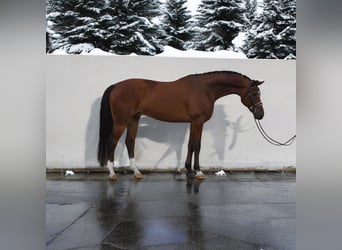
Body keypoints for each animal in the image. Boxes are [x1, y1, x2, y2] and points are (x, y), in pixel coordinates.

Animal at [97, 70, 264, 180]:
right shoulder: (198, 121)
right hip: (121, 122)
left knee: (129, 142)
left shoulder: (193, 122)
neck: (204, 89)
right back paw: (112, 173)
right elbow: (197, 145)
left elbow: (190, 145)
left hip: (134, 119)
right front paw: (198, 172)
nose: (260, 114)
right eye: (254, 93)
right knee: (112, 142)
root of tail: (116, 86)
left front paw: (189, 170)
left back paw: (137, 172)